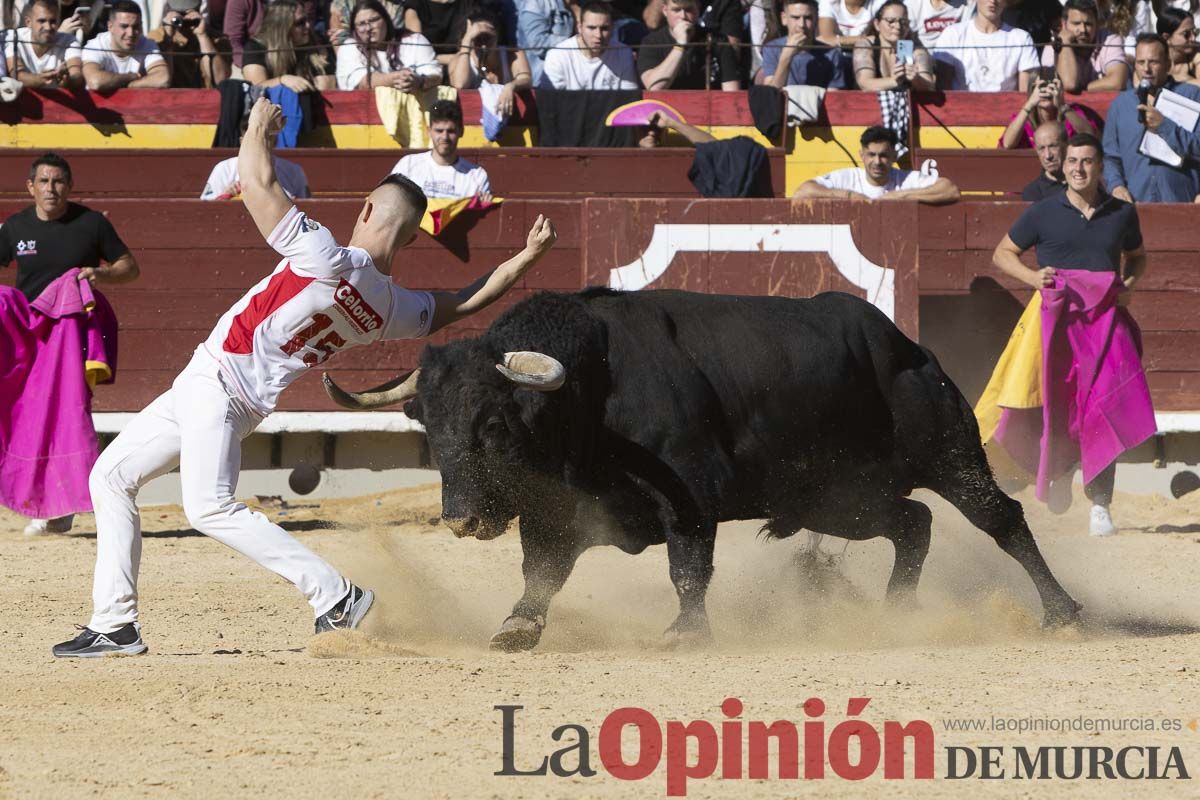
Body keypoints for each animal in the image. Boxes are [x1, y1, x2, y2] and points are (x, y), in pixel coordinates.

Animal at [326, 287, 1080, 652]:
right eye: (429, 429)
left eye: (491, 423)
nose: (459, 520)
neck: (589, 395)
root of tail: (907, 346)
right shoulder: (555, 511)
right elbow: (541, 573)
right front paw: (516, 628)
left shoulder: (690, 496)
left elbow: (686, 567)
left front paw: (684, 632)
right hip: (837, 497)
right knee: (913, 523)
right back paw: (896, 613)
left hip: (951, 457)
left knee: (1001, 519)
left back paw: (1062, 612)